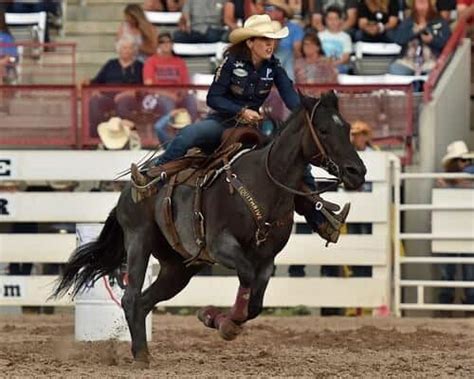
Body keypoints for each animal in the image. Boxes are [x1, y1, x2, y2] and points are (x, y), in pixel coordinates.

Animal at [54, 92, 366, 368]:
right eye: (323, 130)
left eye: (347, 128)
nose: (357, 172)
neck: (263, 185)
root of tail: (127, 190)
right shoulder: (221, 246)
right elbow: (245, 277)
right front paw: (221, 321)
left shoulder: (267, 260)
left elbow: (254, 305)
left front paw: (212, 317)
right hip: (139, 241)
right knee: (131, 297)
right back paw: (140, 356)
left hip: (179, 268)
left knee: (143, 302)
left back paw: (142, 351)